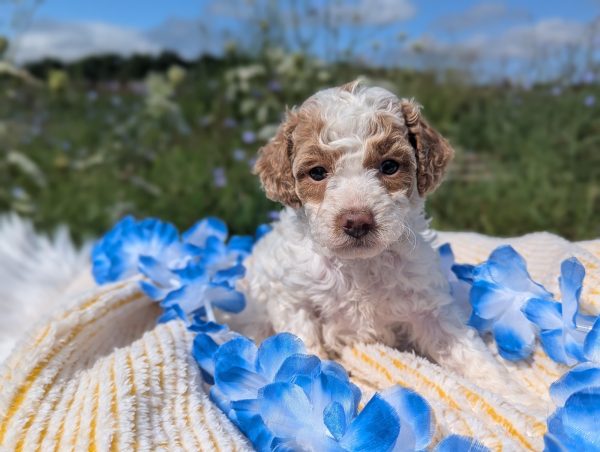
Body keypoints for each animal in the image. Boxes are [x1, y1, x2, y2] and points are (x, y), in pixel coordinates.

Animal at [236, 82, 536, 406]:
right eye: (317, 172)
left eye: (389, 166)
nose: (357, 221)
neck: (360, 264)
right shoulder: (290, 297)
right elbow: (304, 346)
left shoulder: (428, 306)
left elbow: (468, 351)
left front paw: (517, 399)